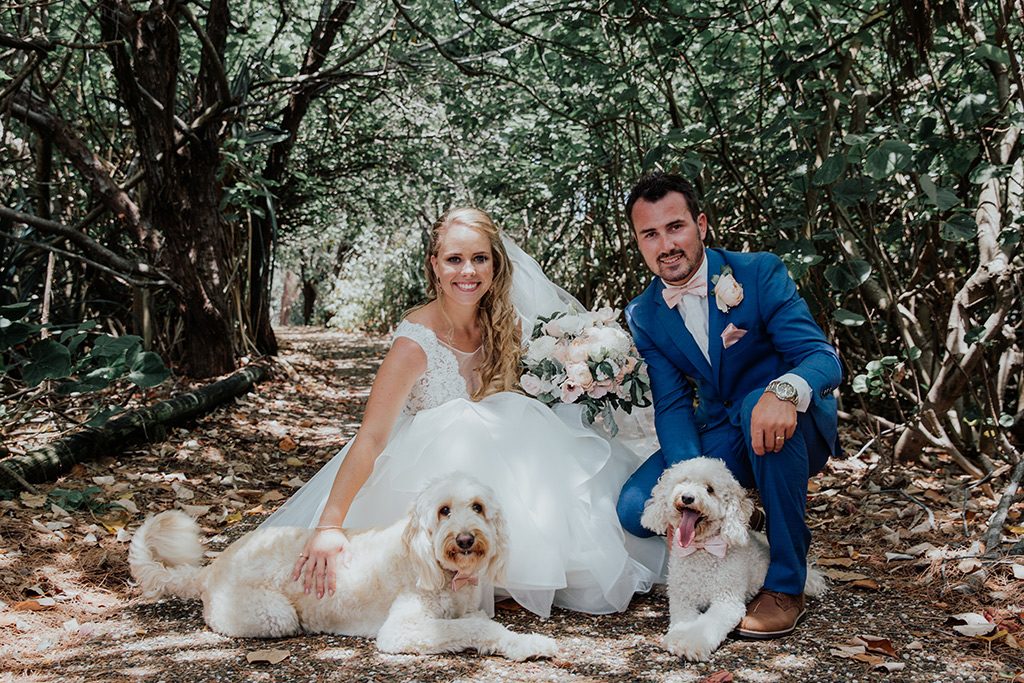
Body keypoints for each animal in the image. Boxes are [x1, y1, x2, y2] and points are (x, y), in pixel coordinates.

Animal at [132, 473, 561, 659]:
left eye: (478, 507)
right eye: (443, 511)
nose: (466, 539)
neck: (437, 568)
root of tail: (212, 567)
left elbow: (484, 624)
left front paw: (526, 642)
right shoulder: (403, 630)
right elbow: (478, 627)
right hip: (273, 615)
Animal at [638, 458, 823, 663]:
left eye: (709, 489)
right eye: (683, 481)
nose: (687, 497)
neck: (702, 550)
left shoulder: (726, 602)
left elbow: (706, 626)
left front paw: (691, 644)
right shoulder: (683, 599)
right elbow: (683, 620)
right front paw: (678, 637)